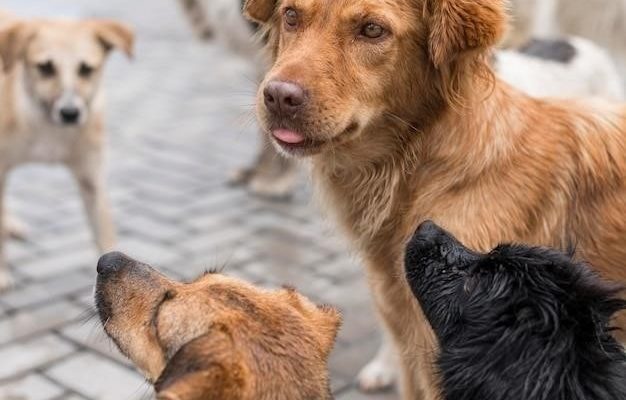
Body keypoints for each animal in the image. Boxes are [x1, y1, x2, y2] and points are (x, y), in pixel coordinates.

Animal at [0, 11, 133, 288]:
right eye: (45, 67)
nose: (70, 113)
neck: (48, 127)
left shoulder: (91, 178)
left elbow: (105, 233)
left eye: (86, 69)